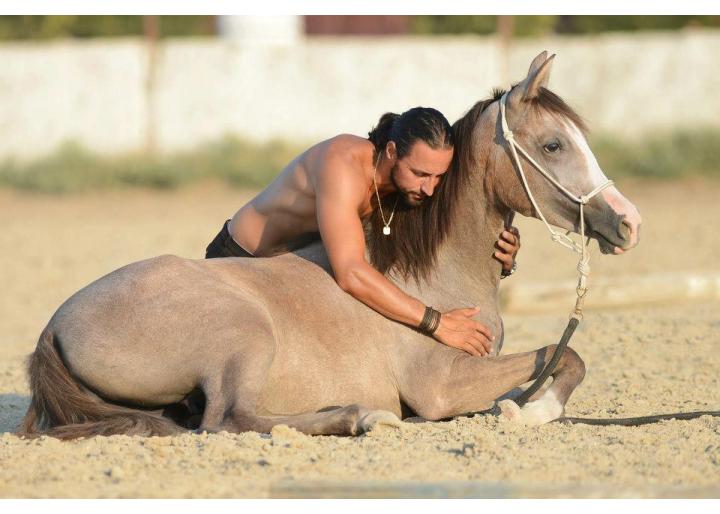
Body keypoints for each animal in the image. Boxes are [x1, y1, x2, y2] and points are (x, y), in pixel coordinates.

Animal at [21, 51, 640, 436]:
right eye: (554, 144)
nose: (628, 221)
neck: (430, 271)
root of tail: (55, 323)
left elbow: (565, 358)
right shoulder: (442, 386)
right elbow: (565, 354)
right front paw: (528, 413)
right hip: (243, 336)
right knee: (227, 419)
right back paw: (359, 418)